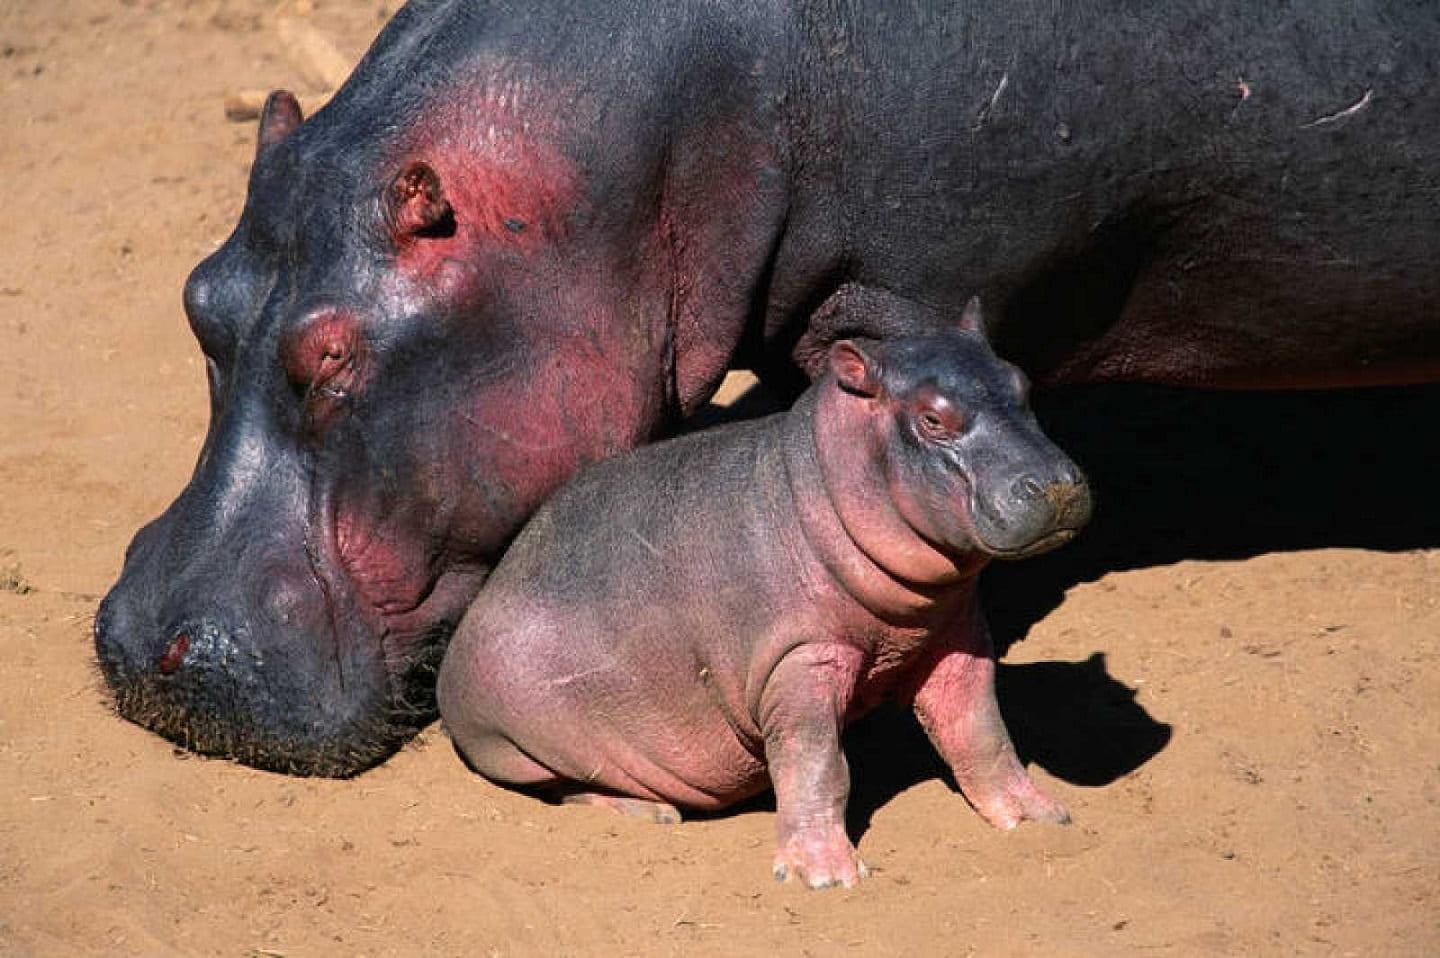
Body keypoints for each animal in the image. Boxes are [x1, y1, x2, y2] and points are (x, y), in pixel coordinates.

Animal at [438, 301, 1091, 888]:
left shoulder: (956, 634)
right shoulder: (799, 660)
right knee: (569, 789)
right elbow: (817, 763)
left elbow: (980, 732)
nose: (1057, 484)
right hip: (522, 745)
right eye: (931, 418)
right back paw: (655, 813)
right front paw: (826, 877)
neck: (824, 477)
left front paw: (1040, 819)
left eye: (1021, 382)